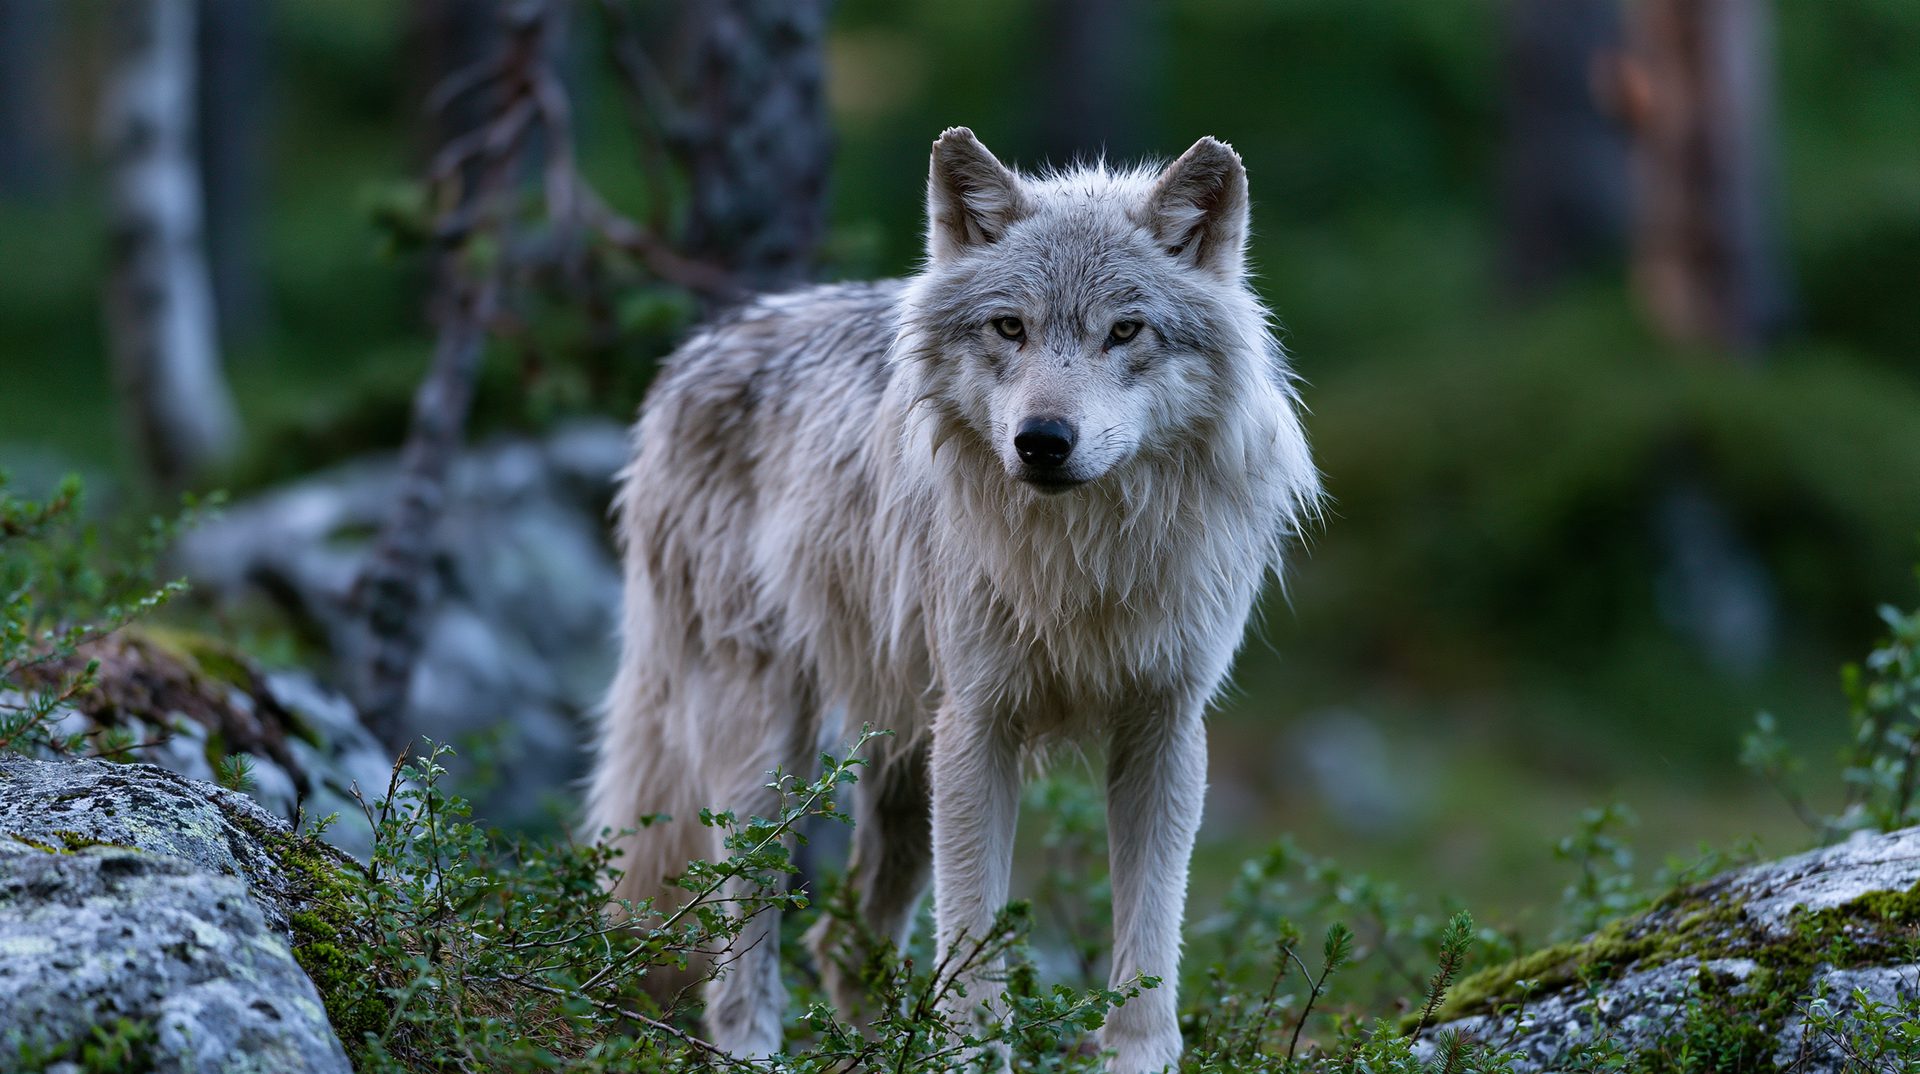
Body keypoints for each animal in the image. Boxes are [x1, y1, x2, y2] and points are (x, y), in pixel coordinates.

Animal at [586, 128, 1320, 1072]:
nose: (1042, 441)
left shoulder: (1162, 726)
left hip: (901, 757)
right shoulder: (981, 725)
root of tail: (686, 360)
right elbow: (973, 951)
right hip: (769, 754)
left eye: (1125, 331)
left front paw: (1138, 1057)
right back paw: (757, 1048)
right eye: (1011, 325)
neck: (1080, 562)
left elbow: (1149, 948)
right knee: (741, 937)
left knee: (841, 939)